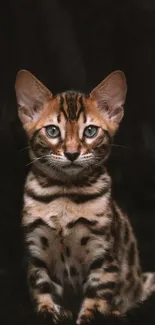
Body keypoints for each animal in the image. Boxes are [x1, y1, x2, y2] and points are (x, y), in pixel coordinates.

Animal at [14, 69, 155, 322]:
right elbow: (42, 292)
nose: (72, 153)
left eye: (90, 131)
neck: (64, 194)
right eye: (52, 131)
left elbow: (96, 302)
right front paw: (50, 313)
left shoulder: (103, 256)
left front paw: (89, 315)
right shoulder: (36, 253)